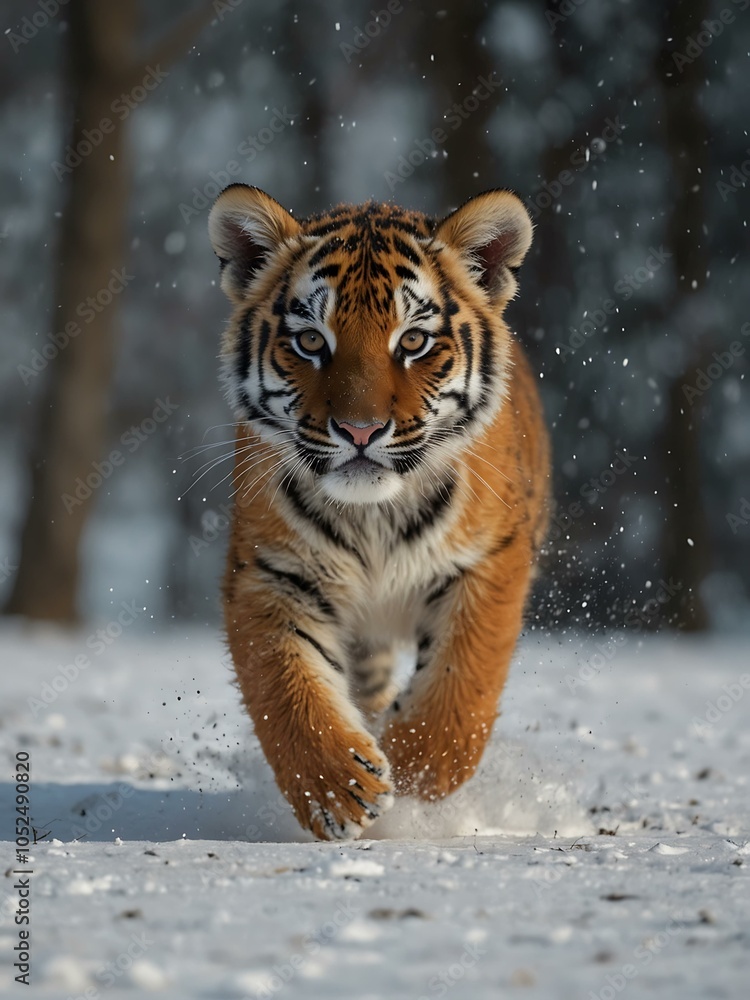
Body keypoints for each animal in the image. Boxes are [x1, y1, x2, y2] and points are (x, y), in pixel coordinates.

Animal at [207, 184, 550, 841]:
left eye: (412, 341)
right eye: (311, 341)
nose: (360, 430)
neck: (374, 518)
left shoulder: (489, 561)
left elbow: (462, 681)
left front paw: (416, 769)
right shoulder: (272, 571)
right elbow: (285, 683)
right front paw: (338, 789)